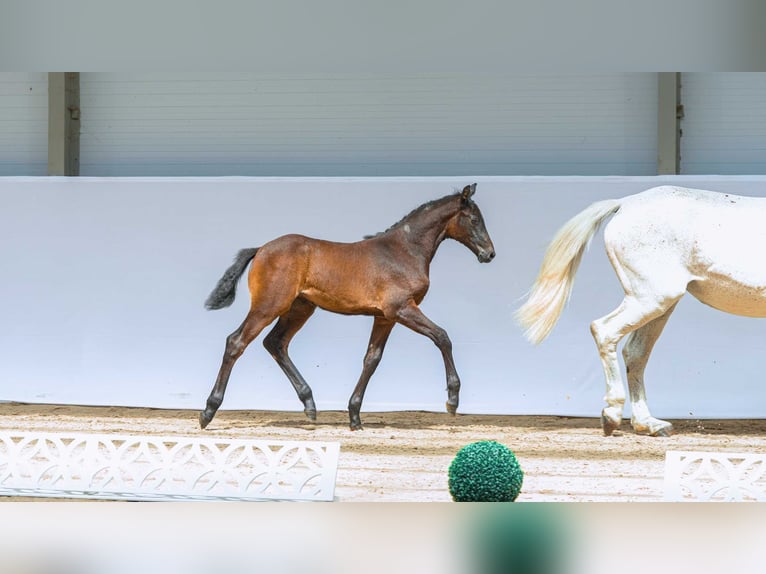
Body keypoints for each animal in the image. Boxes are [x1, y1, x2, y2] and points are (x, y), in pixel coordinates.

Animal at [200, 183, 495, 431]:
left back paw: (310, 406)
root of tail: (260, 249)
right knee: (236, 342)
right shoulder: (401, 309)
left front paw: (354, 417)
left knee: (275, 343)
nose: (489, 253)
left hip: (300, 309)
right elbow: (442, 337)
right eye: (474, 219)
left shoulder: (385, 317)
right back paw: (208, 412)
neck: (404, 251)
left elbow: (372, 359)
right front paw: (452, 400)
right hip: (269, 306)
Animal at [516, 185, 766, 437]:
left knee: (636, 353)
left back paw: (649, 424)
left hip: (659, 306)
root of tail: (625, 203)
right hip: (651, 299)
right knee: (605, 331)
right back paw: (612, 415)